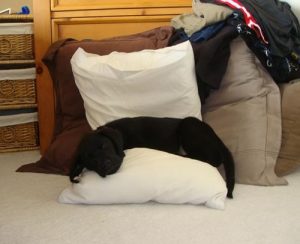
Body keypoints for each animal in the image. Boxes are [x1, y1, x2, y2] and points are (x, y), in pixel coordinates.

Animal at [69, 116, 234, 198]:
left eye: (103, 146)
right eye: (90, 160)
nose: (105, 166)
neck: (121, 133)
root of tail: (217, 139)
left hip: (188, 125)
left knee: (211, 158)